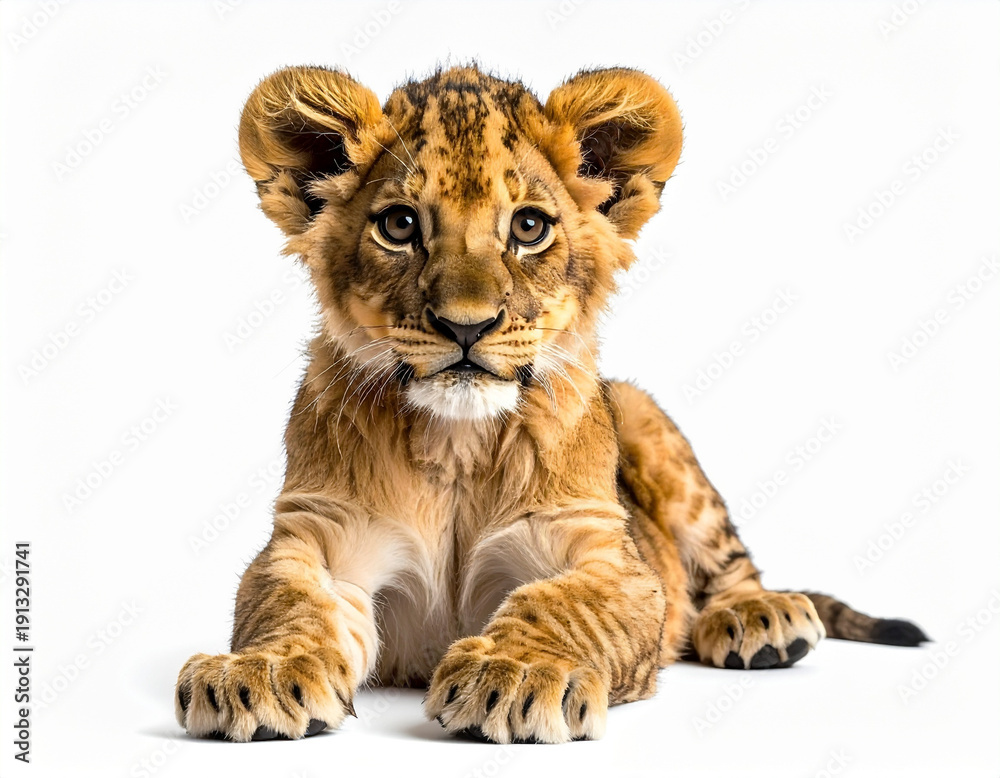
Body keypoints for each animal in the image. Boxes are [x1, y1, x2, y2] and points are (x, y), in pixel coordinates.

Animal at [175, 64, 926, 744]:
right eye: (399, 224)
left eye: (529, 226)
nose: (467, 325)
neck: (458, 444)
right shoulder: (318, 539)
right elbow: (287, 606)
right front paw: (261, 673)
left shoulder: (608, 556)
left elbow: (561, 603)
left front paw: (515, 673)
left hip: (649, 423)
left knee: (730, 566)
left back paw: (759, 620)